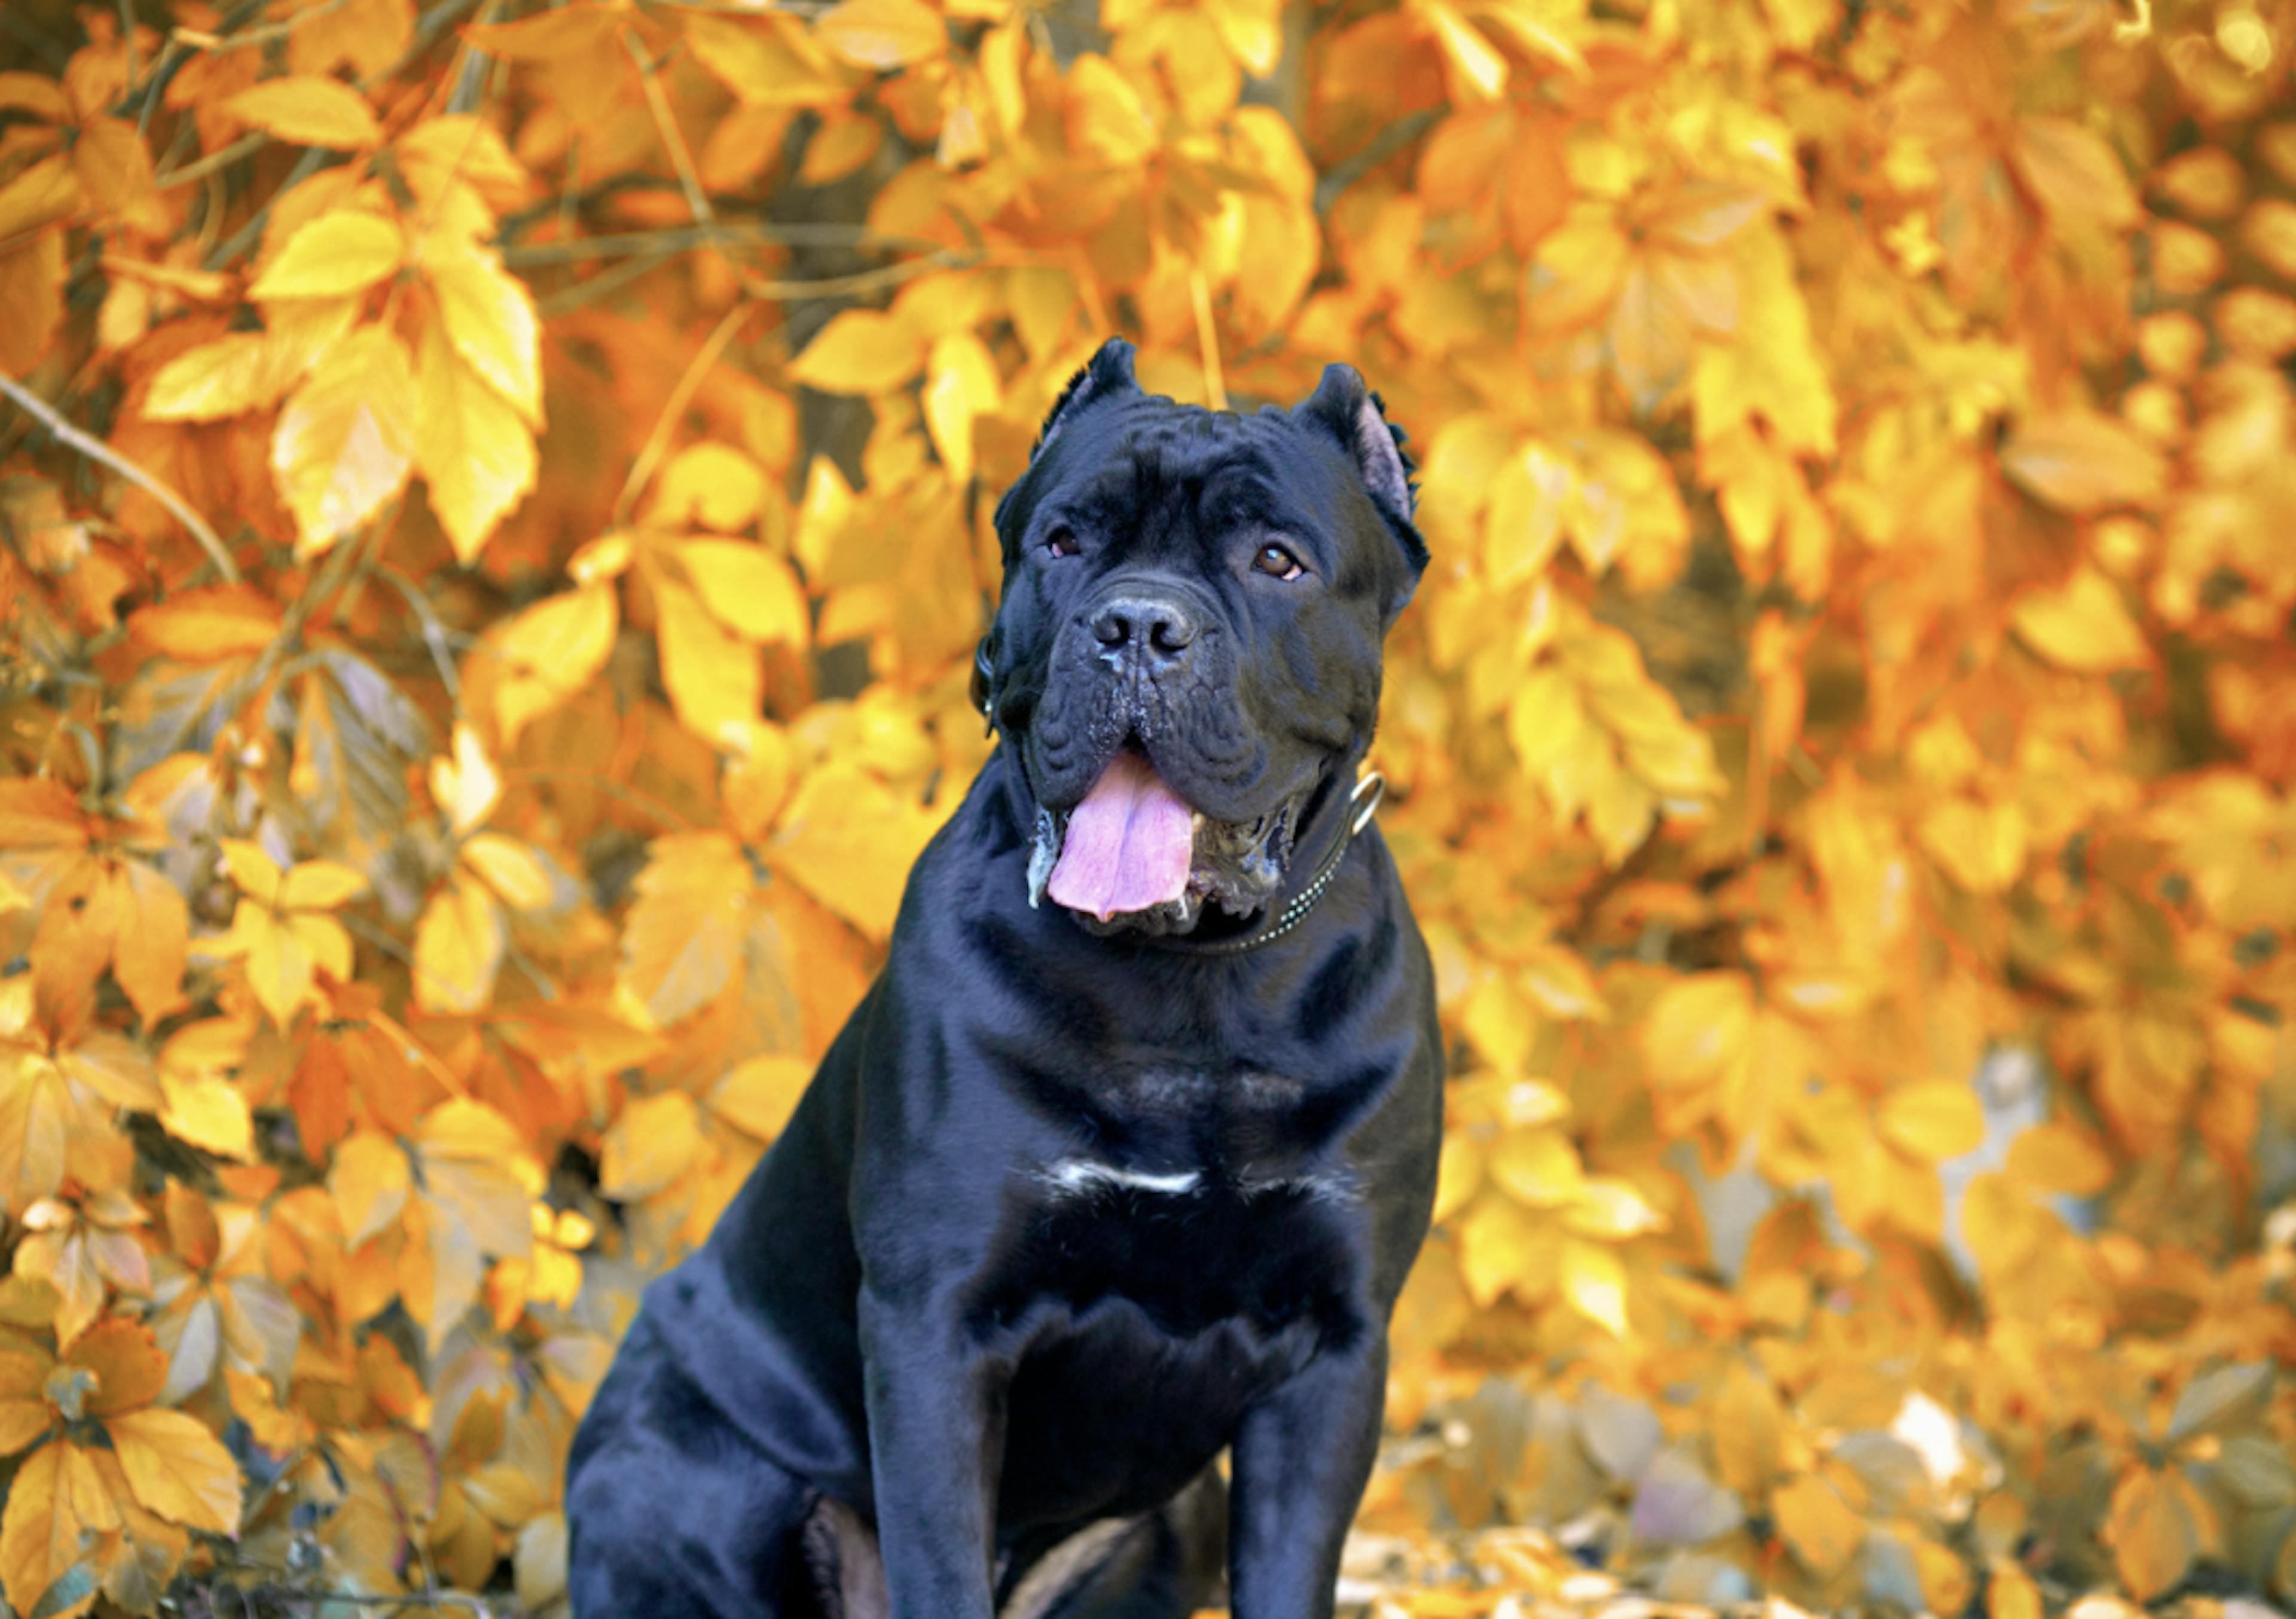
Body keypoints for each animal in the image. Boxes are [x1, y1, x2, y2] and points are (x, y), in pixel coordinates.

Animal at [567, 340, 1442, 1617]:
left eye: (1275, 559)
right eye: (1065, 540)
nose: (1137, 625)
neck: (1189, 988)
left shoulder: (1336, 1349)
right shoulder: (938, 1321)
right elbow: (939, 1565)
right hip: (675, 1474)